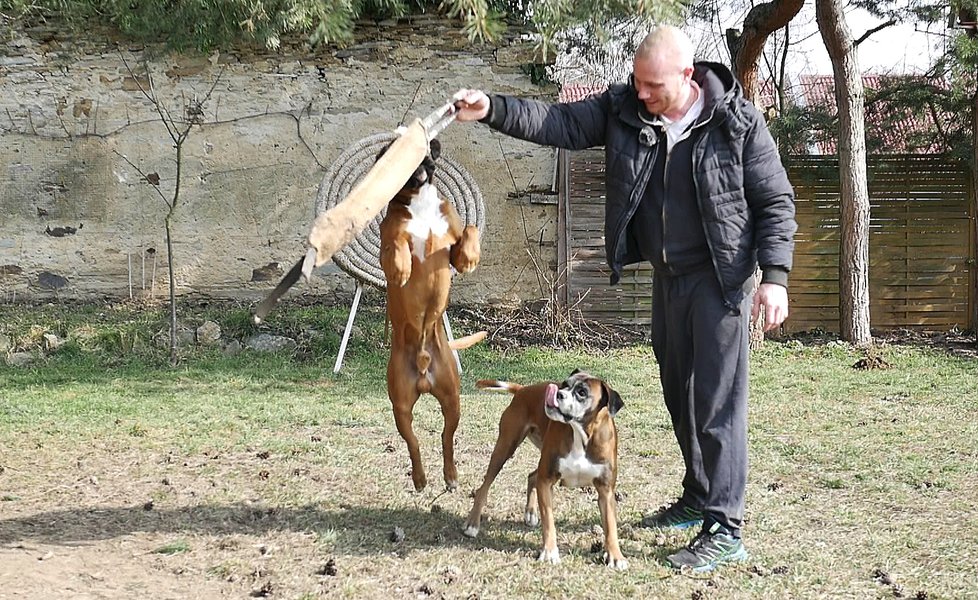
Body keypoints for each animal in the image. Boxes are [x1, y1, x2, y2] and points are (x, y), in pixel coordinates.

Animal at [378, 139, 480, 492]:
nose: (421, 161)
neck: (419, 199)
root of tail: (424, 367)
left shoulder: (454, 247)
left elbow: (471, 229)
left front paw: (472, 256)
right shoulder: (389, 242)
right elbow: (396, 244)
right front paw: (403, 267)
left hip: (452, 399)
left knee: (447, 438)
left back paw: (450, 476)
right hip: (401, 405)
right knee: (414, 443)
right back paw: (421, 478)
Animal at [460, 368, 624, 568]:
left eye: (582, 392)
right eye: (564, 384)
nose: (559, 393)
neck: (581, 434)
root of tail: (523, 389)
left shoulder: (606, 491)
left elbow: (611, 525)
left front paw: (616, 556)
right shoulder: (546, 480)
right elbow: (549, 520)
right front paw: (550, 552)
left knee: (532, 476)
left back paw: (530, 513)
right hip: (505, 448)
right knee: (485, 486)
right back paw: (472, 524)